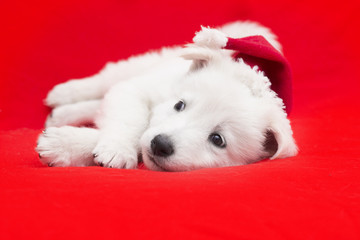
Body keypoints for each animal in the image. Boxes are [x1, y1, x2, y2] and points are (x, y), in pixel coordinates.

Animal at [35, 20, 298, 171]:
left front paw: (64, 145)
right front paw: (117, 147)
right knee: (106, 81)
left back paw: (59, 115)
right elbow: (131, 120)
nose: (160, 144)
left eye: (217, 139)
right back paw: (64, 94)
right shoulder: (139, 89)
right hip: (143, 65)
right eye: (179, 105)